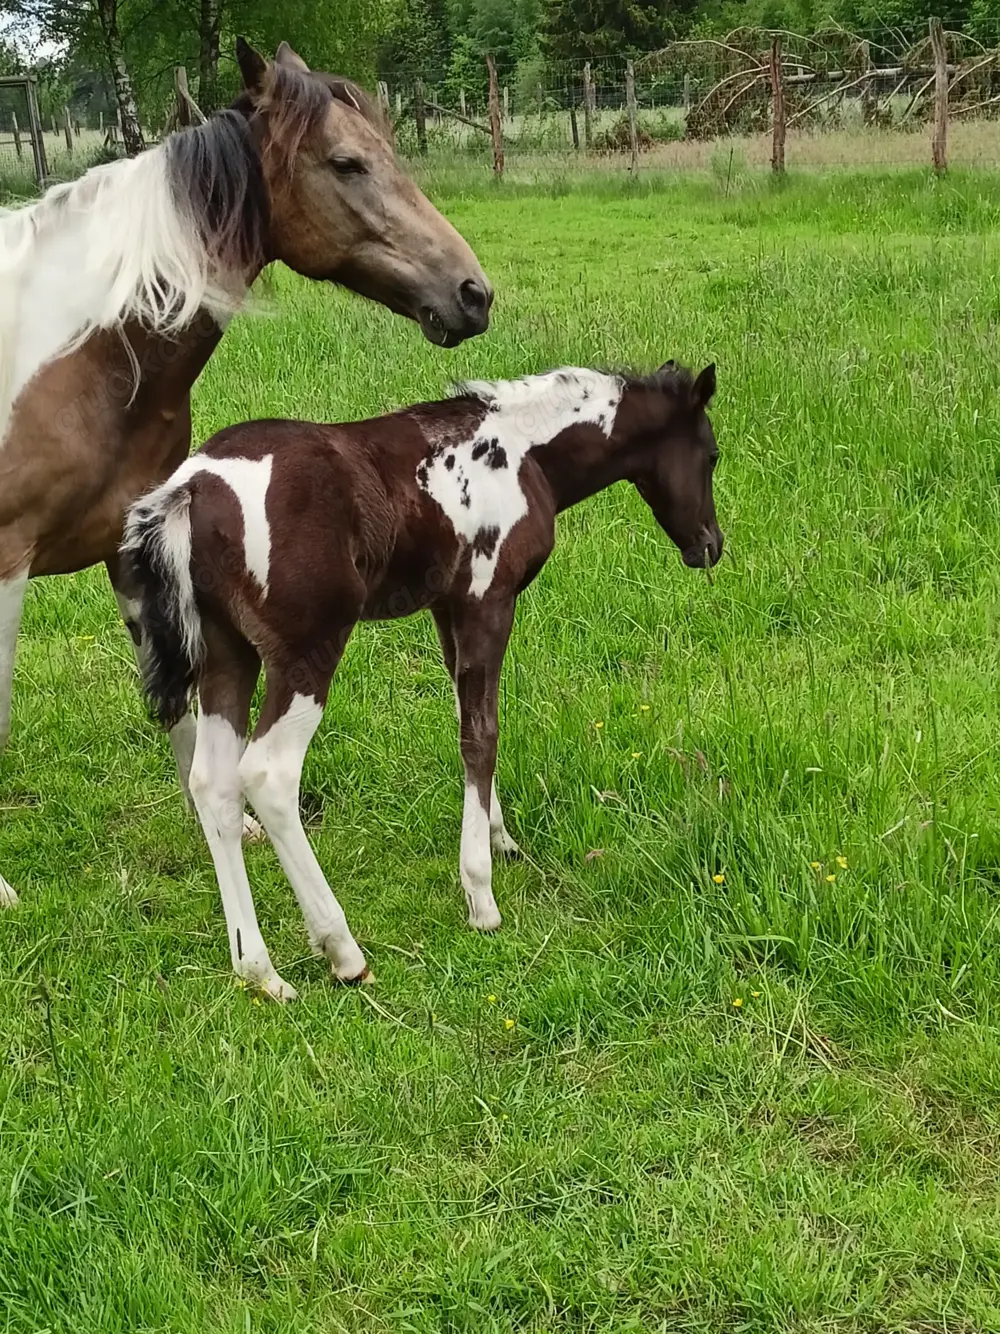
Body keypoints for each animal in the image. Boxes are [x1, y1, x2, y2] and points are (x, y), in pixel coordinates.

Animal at [0, 39, 492, 907]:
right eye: (346, 162)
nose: (474, 293)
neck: (63, 353)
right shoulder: (5, 566)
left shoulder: (134, 550)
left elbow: (179, 702)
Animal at [121, 361, 722, 1000]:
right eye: (711, 454)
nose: (710, 545)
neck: (523, 451)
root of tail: (193, 489)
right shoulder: (489, 602)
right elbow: (482, 734)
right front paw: (481, 895)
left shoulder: (447, 608)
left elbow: (465, 716)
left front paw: (499, 837)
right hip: (305, 654)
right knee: (269, 775)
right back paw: (343, 951)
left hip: (227, 655)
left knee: (213, 787)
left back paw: (260, 971)